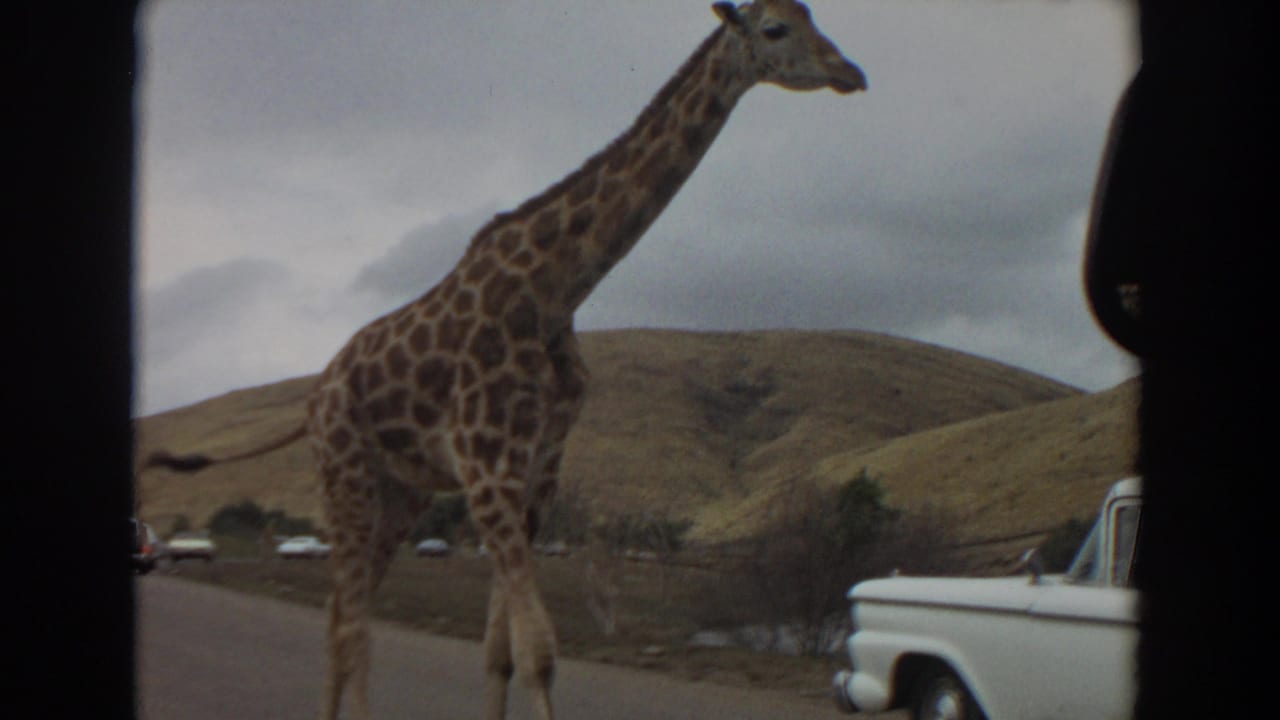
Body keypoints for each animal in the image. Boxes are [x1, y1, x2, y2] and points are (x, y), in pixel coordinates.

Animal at [143, 2, 864, 718]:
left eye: (813, 16)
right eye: (775, 29)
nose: (850, 72)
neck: (555, 288)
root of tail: (314, 397)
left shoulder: (536, 470)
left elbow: (503, 654)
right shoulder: (488, 465)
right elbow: (540, 651)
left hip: (401, 490)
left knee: (343, 612)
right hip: (343, 473)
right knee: (347, 622)